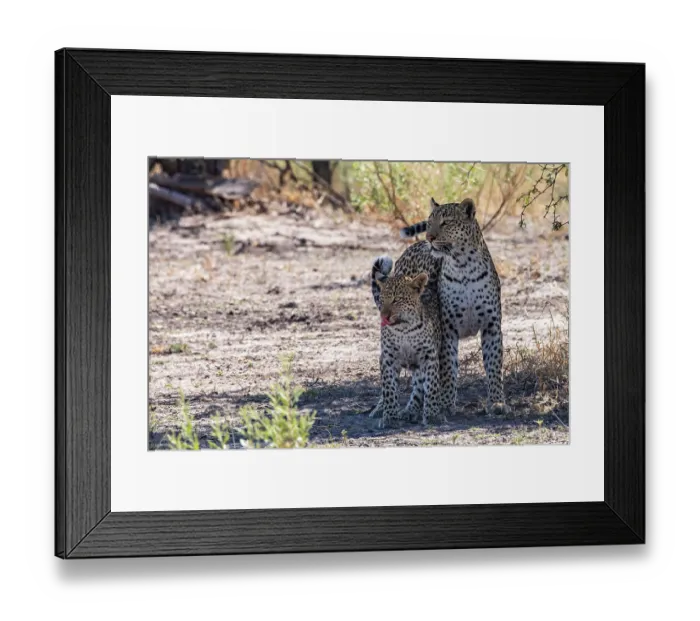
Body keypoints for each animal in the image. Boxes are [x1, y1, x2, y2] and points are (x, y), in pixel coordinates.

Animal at [370, 259, 445, 428]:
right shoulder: (388, 357)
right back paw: (383, 409)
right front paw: (390, 416)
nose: (383, 316)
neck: (404, 328)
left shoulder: (429, 355)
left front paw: (432, 415)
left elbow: (431, 385)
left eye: (396, 300)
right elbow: (389, 388)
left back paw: (411, 410)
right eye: (382, 300)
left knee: (419, 385)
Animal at [399, 197, 508, 416]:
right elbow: (448, 368)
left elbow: (494, 365)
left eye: (445, 223)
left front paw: (497, 402)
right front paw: (446, 403)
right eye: (430, 222)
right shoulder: (447, 329)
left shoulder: (491, 326)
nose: (429, 237)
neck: (464, 266)